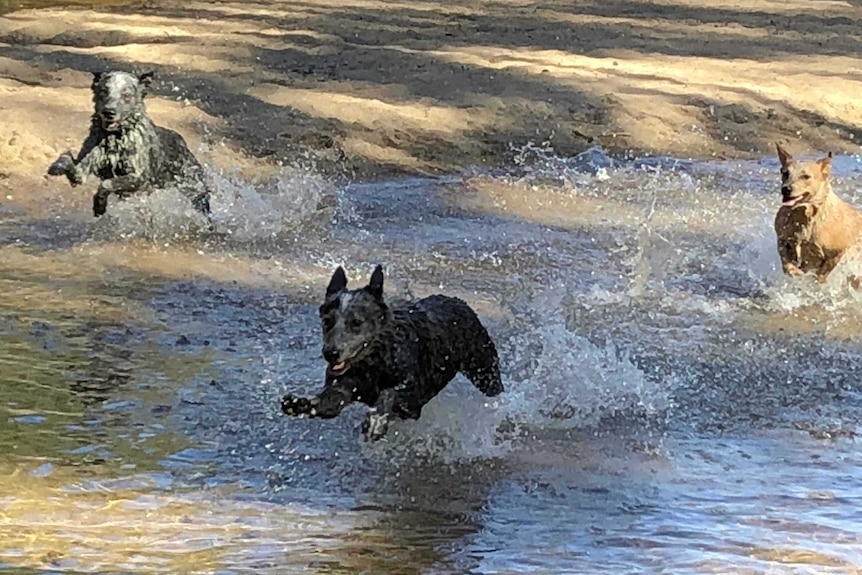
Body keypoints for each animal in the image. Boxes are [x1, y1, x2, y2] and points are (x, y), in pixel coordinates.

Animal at [46, 70, 213, 227]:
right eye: (104, 91)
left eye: (126, 95)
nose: (109, 112)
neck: (114, 139)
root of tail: (183, 144)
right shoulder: (86, 164)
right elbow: (69, 161)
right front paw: (58, 166)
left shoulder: (138, 177)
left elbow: (106, 184)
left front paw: (100, 205)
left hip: (194, 190)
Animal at [282, 264, 506, 440]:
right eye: (327, 321)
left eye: (356, 322)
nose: (331, 353)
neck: (373, 363)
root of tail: (458, 300)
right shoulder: (343, 386)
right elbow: (329, 401)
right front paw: (300, 403)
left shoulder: (412, 394)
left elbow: (389, 393)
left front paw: (376, 421)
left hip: (484, 369)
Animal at [776, 142, 862, 282]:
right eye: (785, 173)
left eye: (805, 176)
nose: (785, 189)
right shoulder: (782, 239)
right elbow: (786, 261)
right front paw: (794, 271)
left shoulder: (837, 252)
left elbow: (823, 274)